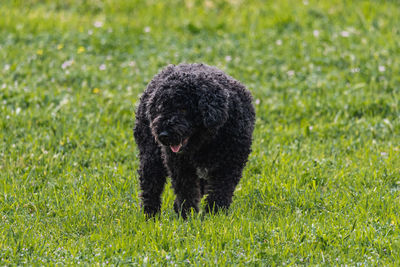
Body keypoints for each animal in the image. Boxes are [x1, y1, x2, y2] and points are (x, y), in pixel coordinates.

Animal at [133, 63, 255, 219]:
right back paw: (150, 215)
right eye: (161, 108)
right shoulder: (180, 165)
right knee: (150, 185)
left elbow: (220, 190)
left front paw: (216, 215)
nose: (163, 135)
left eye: (183, 108)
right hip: (151, 156)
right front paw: (188, 216)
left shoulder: (230, 164)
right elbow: (186, 192)